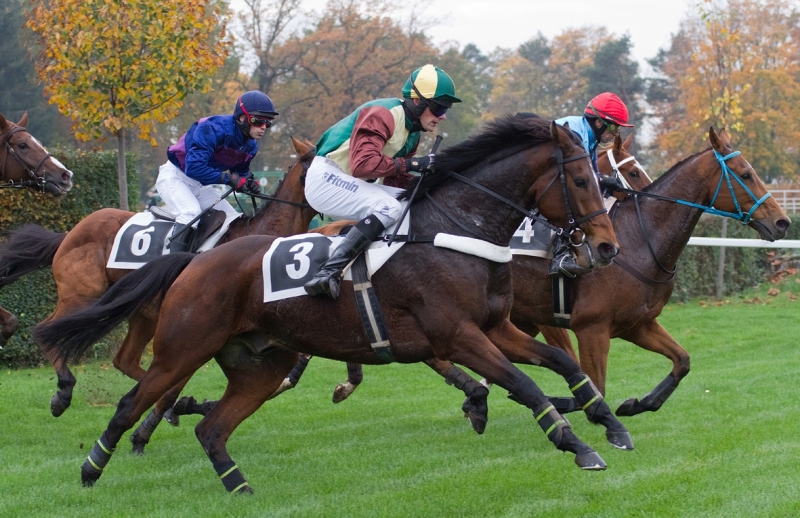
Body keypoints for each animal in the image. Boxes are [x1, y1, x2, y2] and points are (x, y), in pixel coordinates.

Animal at [0, 136, 318, 416]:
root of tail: (70, 233)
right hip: (82, 296)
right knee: (46, 330)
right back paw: (64, 392)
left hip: (144, 312)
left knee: (125, 361)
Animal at [39, 116, 624, 494]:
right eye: (580, 179)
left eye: (600, 179)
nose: (606, 248)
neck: (456, 228)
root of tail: (195, 262)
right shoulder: (458, 334)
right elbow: (525, 385)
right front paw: (578, 445)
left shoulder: (496, 327)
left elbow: (563, 361)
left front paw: (609, 422)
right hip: (181, 346)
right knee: (132, 399)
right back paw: (91, 465)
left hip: (258, 364)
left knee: (212, 428)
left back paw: (238, 486)